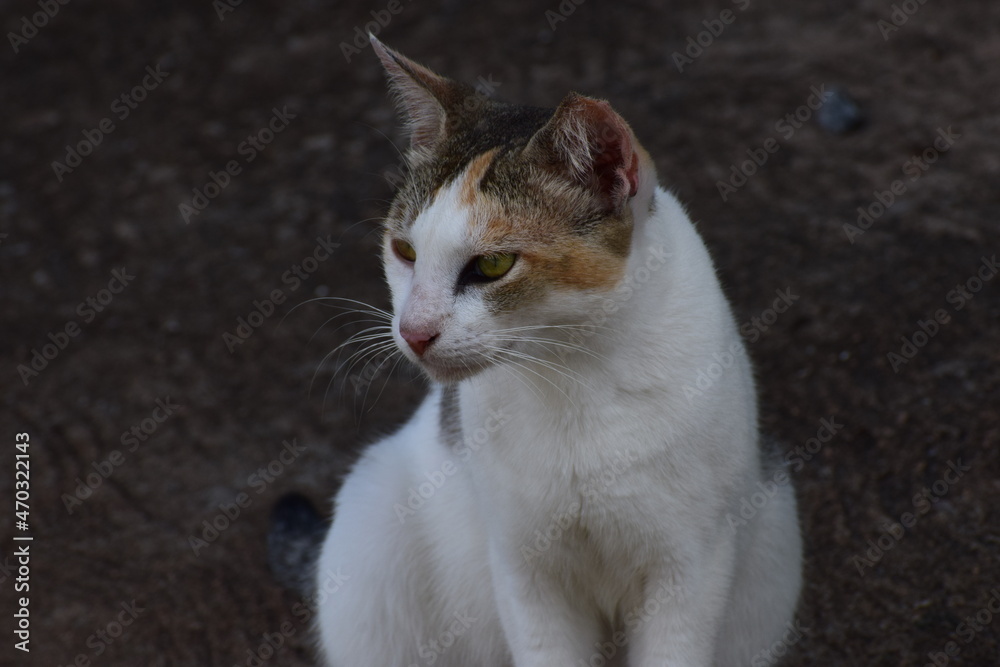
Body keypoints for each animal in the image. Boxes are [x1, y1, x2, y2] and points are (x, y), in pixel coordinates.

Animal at [314, 37, 804, 667]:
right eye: (404, 251)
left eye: (493, 265)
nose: (414, 330)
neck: (575, 376)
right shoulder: (526, 572)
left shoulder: (690, 569)